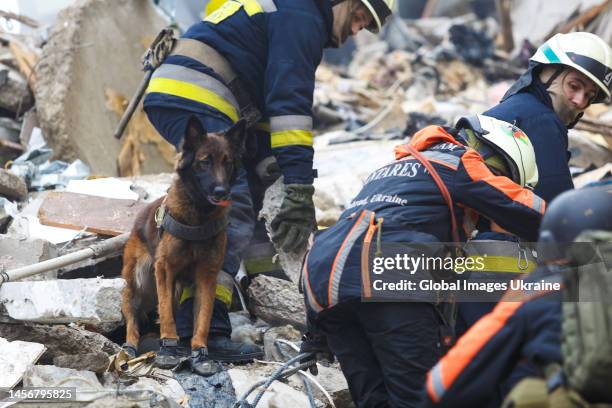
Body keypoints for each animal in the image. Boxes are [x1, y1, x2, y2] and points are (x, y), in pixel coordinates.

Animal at [120, 115, 245, 376]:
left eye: (228, 163)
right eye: (204, 162)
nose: (222, 191)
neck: (199, 216)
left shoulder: (207, 275)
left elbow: (203, 319)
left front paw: (200, 353)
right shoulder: (165, 270)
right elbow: (166, 313)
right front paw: (168, 349)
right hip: (136, 283)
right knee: (133, 318)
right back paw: (130, 347)